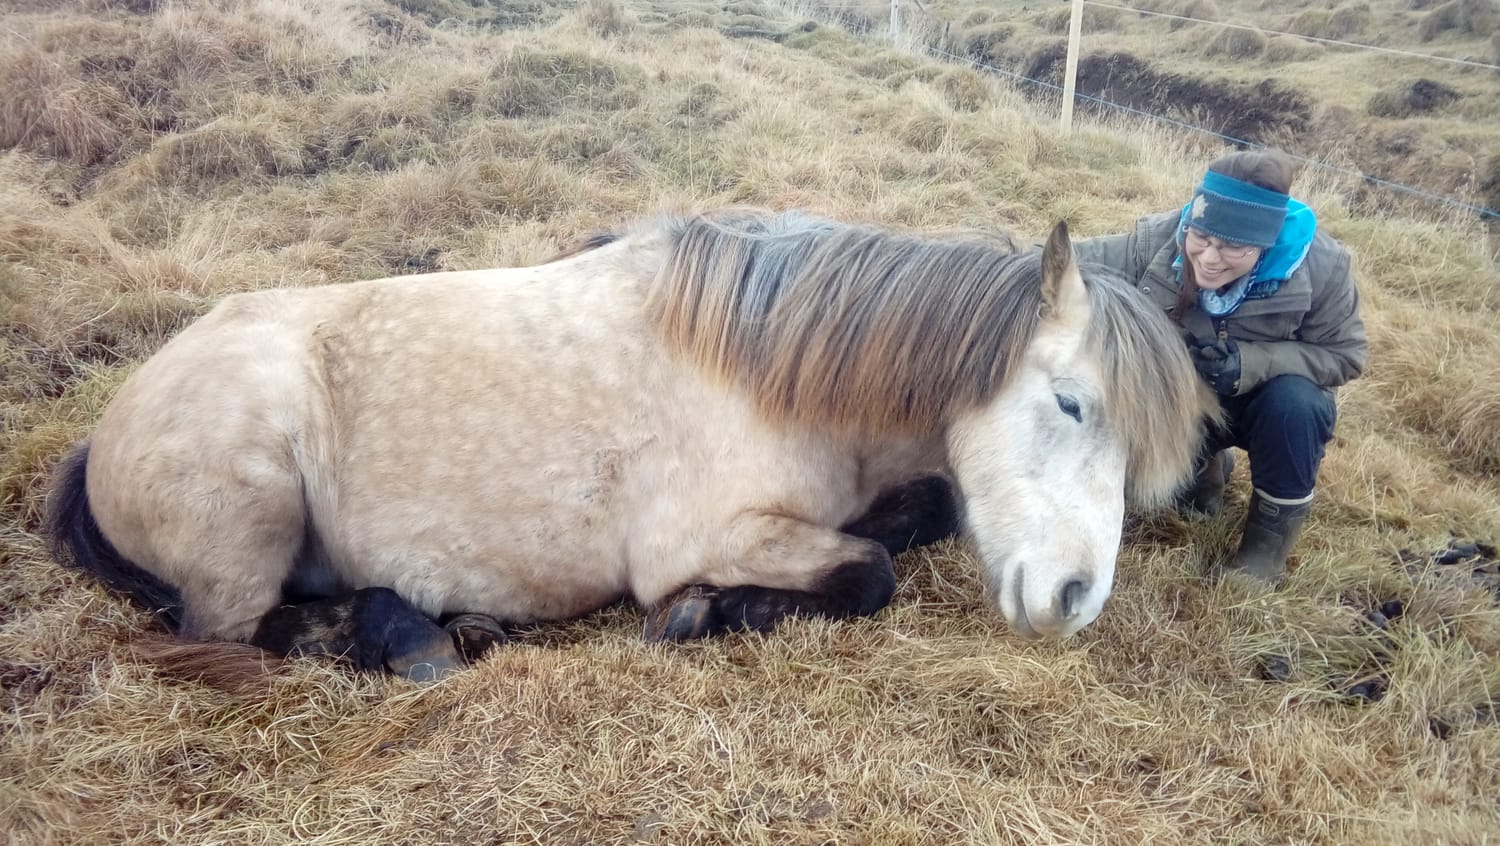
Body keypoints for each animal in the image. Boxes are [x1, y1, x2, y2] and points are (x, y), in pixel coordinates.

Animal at [47, 208, 1218, 681]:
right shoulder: (714, 534)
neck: (768, 368)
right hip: (248, 523)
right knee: (234, 635)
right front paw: (705, 612)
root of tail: (111, 424)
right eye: (1071, 404)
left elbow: (918, 511)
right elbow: (869, 571)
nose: (1075, 600)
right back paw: (407, 638)